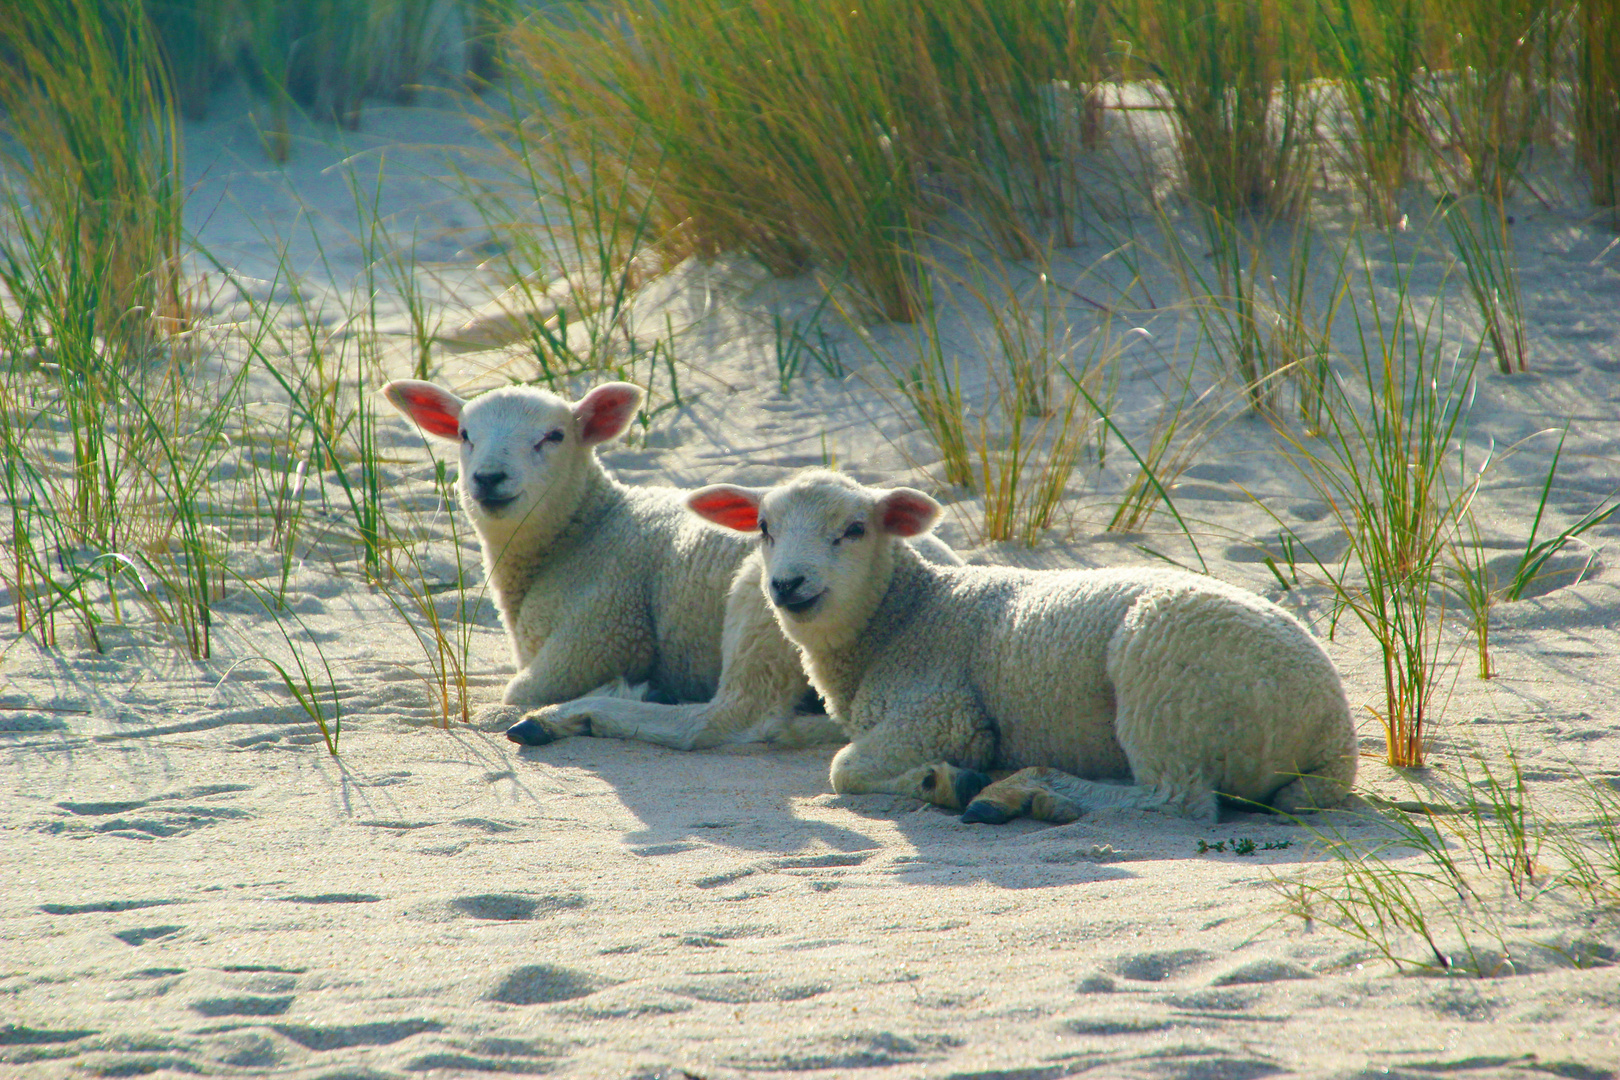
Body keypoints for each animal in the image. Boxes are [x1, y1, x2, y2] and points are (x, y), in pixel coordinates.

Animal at [382, 380, 959, 751]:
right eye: (463, 434)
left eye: (554, 436)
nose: (488, 478)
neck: (585, 530)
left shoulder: (601, 630)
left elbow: (517, 692)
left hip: (760, 611)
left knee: (723, 721)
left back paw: (590, 711)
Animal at [690, 469, 1360, 822]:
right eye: (763, 529)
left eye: (854, 530)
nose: (787, 585)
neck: (906, 617)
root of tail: (1333, 732)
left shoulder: (942, 712)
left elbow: (842, 769)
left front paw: (938, 781)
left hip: (1164, 685)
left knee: (1175, 799)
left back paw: (1027, 791)